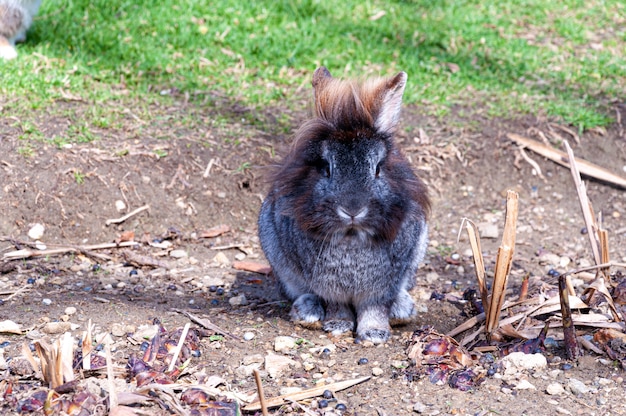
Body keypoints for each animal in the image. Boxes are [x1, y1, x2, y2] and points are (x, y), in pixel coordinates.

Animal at [258, 66, 428, 342]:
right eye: (326, 168)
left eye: (378, 169)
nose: (352, 210)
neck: (351, 234)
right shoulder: (328, 286)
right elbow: (336, 305)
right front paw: (338, 325)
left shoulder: (383, 286)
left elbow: (374, 308)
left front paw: (375, 333)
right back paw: (307, 312)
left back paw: (402, 310)